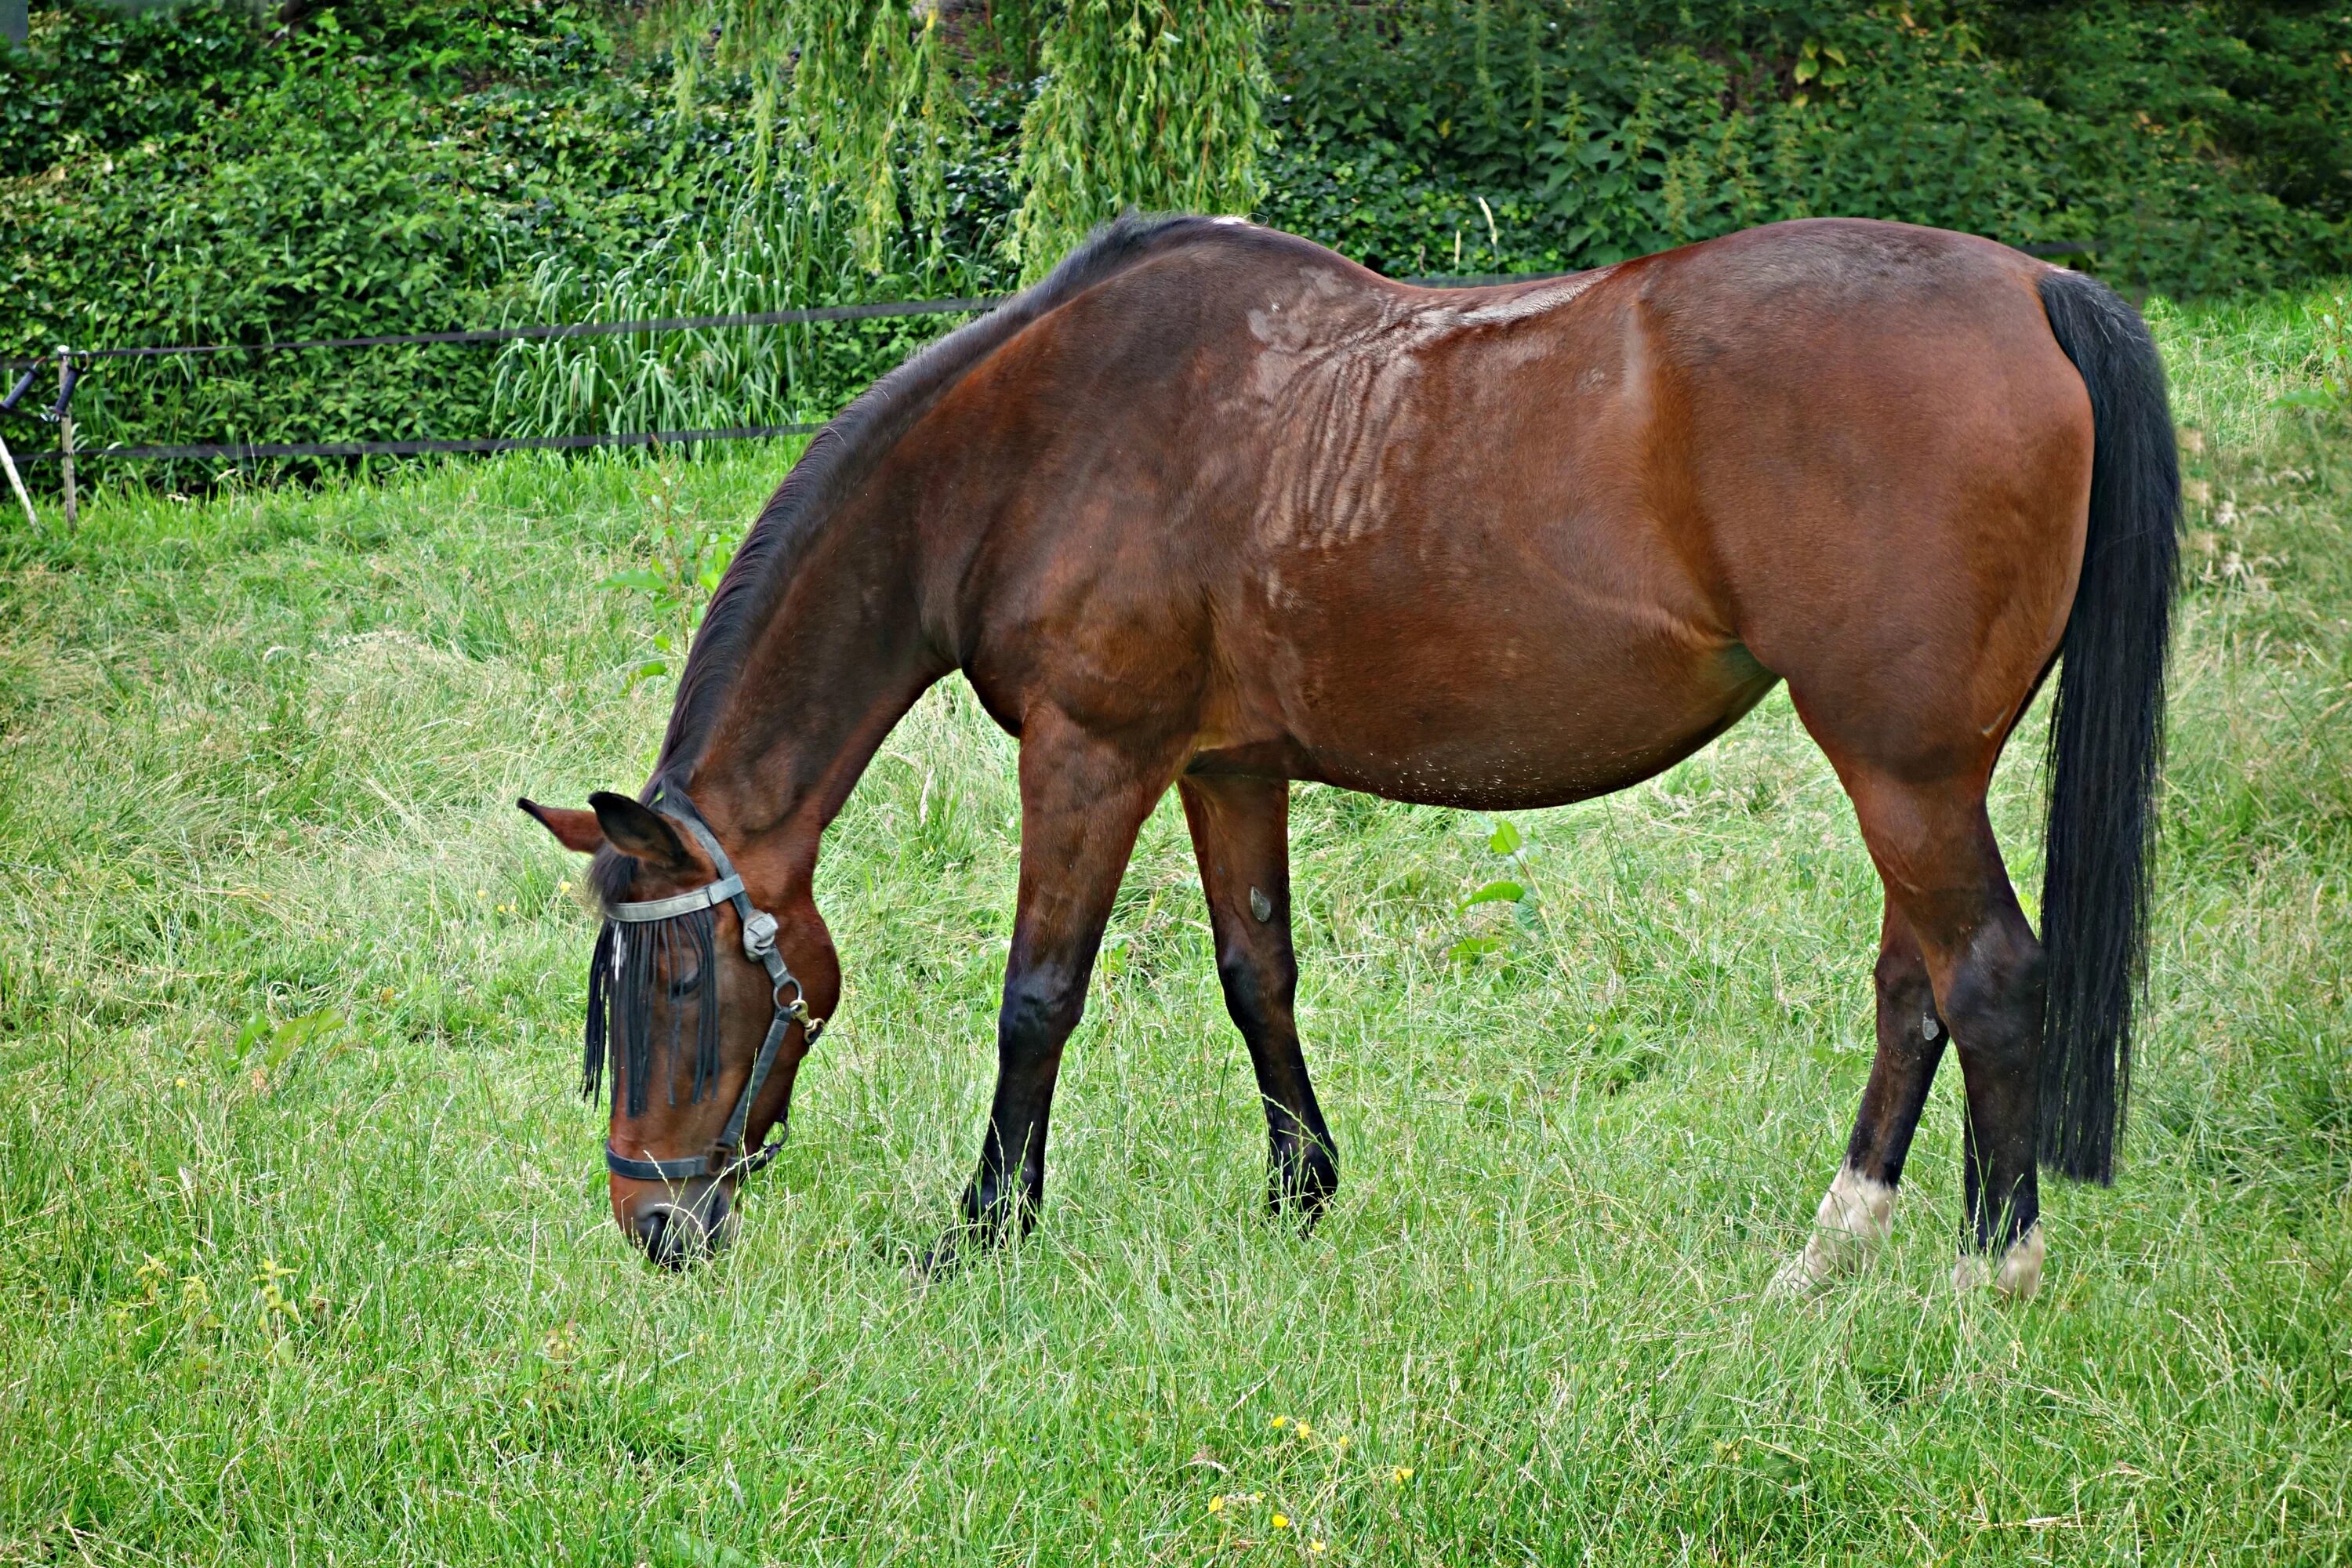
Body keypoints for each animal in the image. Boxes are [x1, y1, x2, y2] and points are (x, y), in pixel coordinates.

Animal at [524, 215, 2173, 1298]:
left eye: (678, 981)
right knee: (1917, 987)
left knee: (1988, 978)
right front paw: (1302, 1195)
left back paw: (1991, 1271)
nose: (653, 1227)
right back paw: (1831, 1251)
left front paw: (984, 1230)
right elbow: (1258, 973)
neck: (1029, 446)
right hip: (1919, 773)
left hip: (1904, 769)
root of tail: (2031, 285)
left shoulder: (1091, 755)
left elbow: (1037, 1000)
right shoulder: (1226, 767)